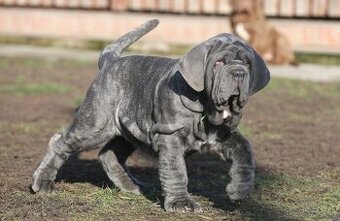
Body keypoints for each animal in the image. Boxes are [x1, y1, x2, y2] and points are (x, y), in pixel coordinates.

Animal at [31, 19, 270, 212]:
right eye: (219, 63)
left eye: (247, 63)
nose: (239, 73)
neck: (207, 107)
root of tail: (110, 61)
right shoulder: (170, 136)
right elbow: (176, 170)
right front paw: (181, 203)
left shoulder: (223, 134)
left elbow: (245, 150)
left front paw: (240, 189)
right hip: (95, 124)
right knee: (60, 141)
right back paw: (42, 182)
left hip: (129, 130)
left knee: (109, 154)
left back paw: (131, 186)